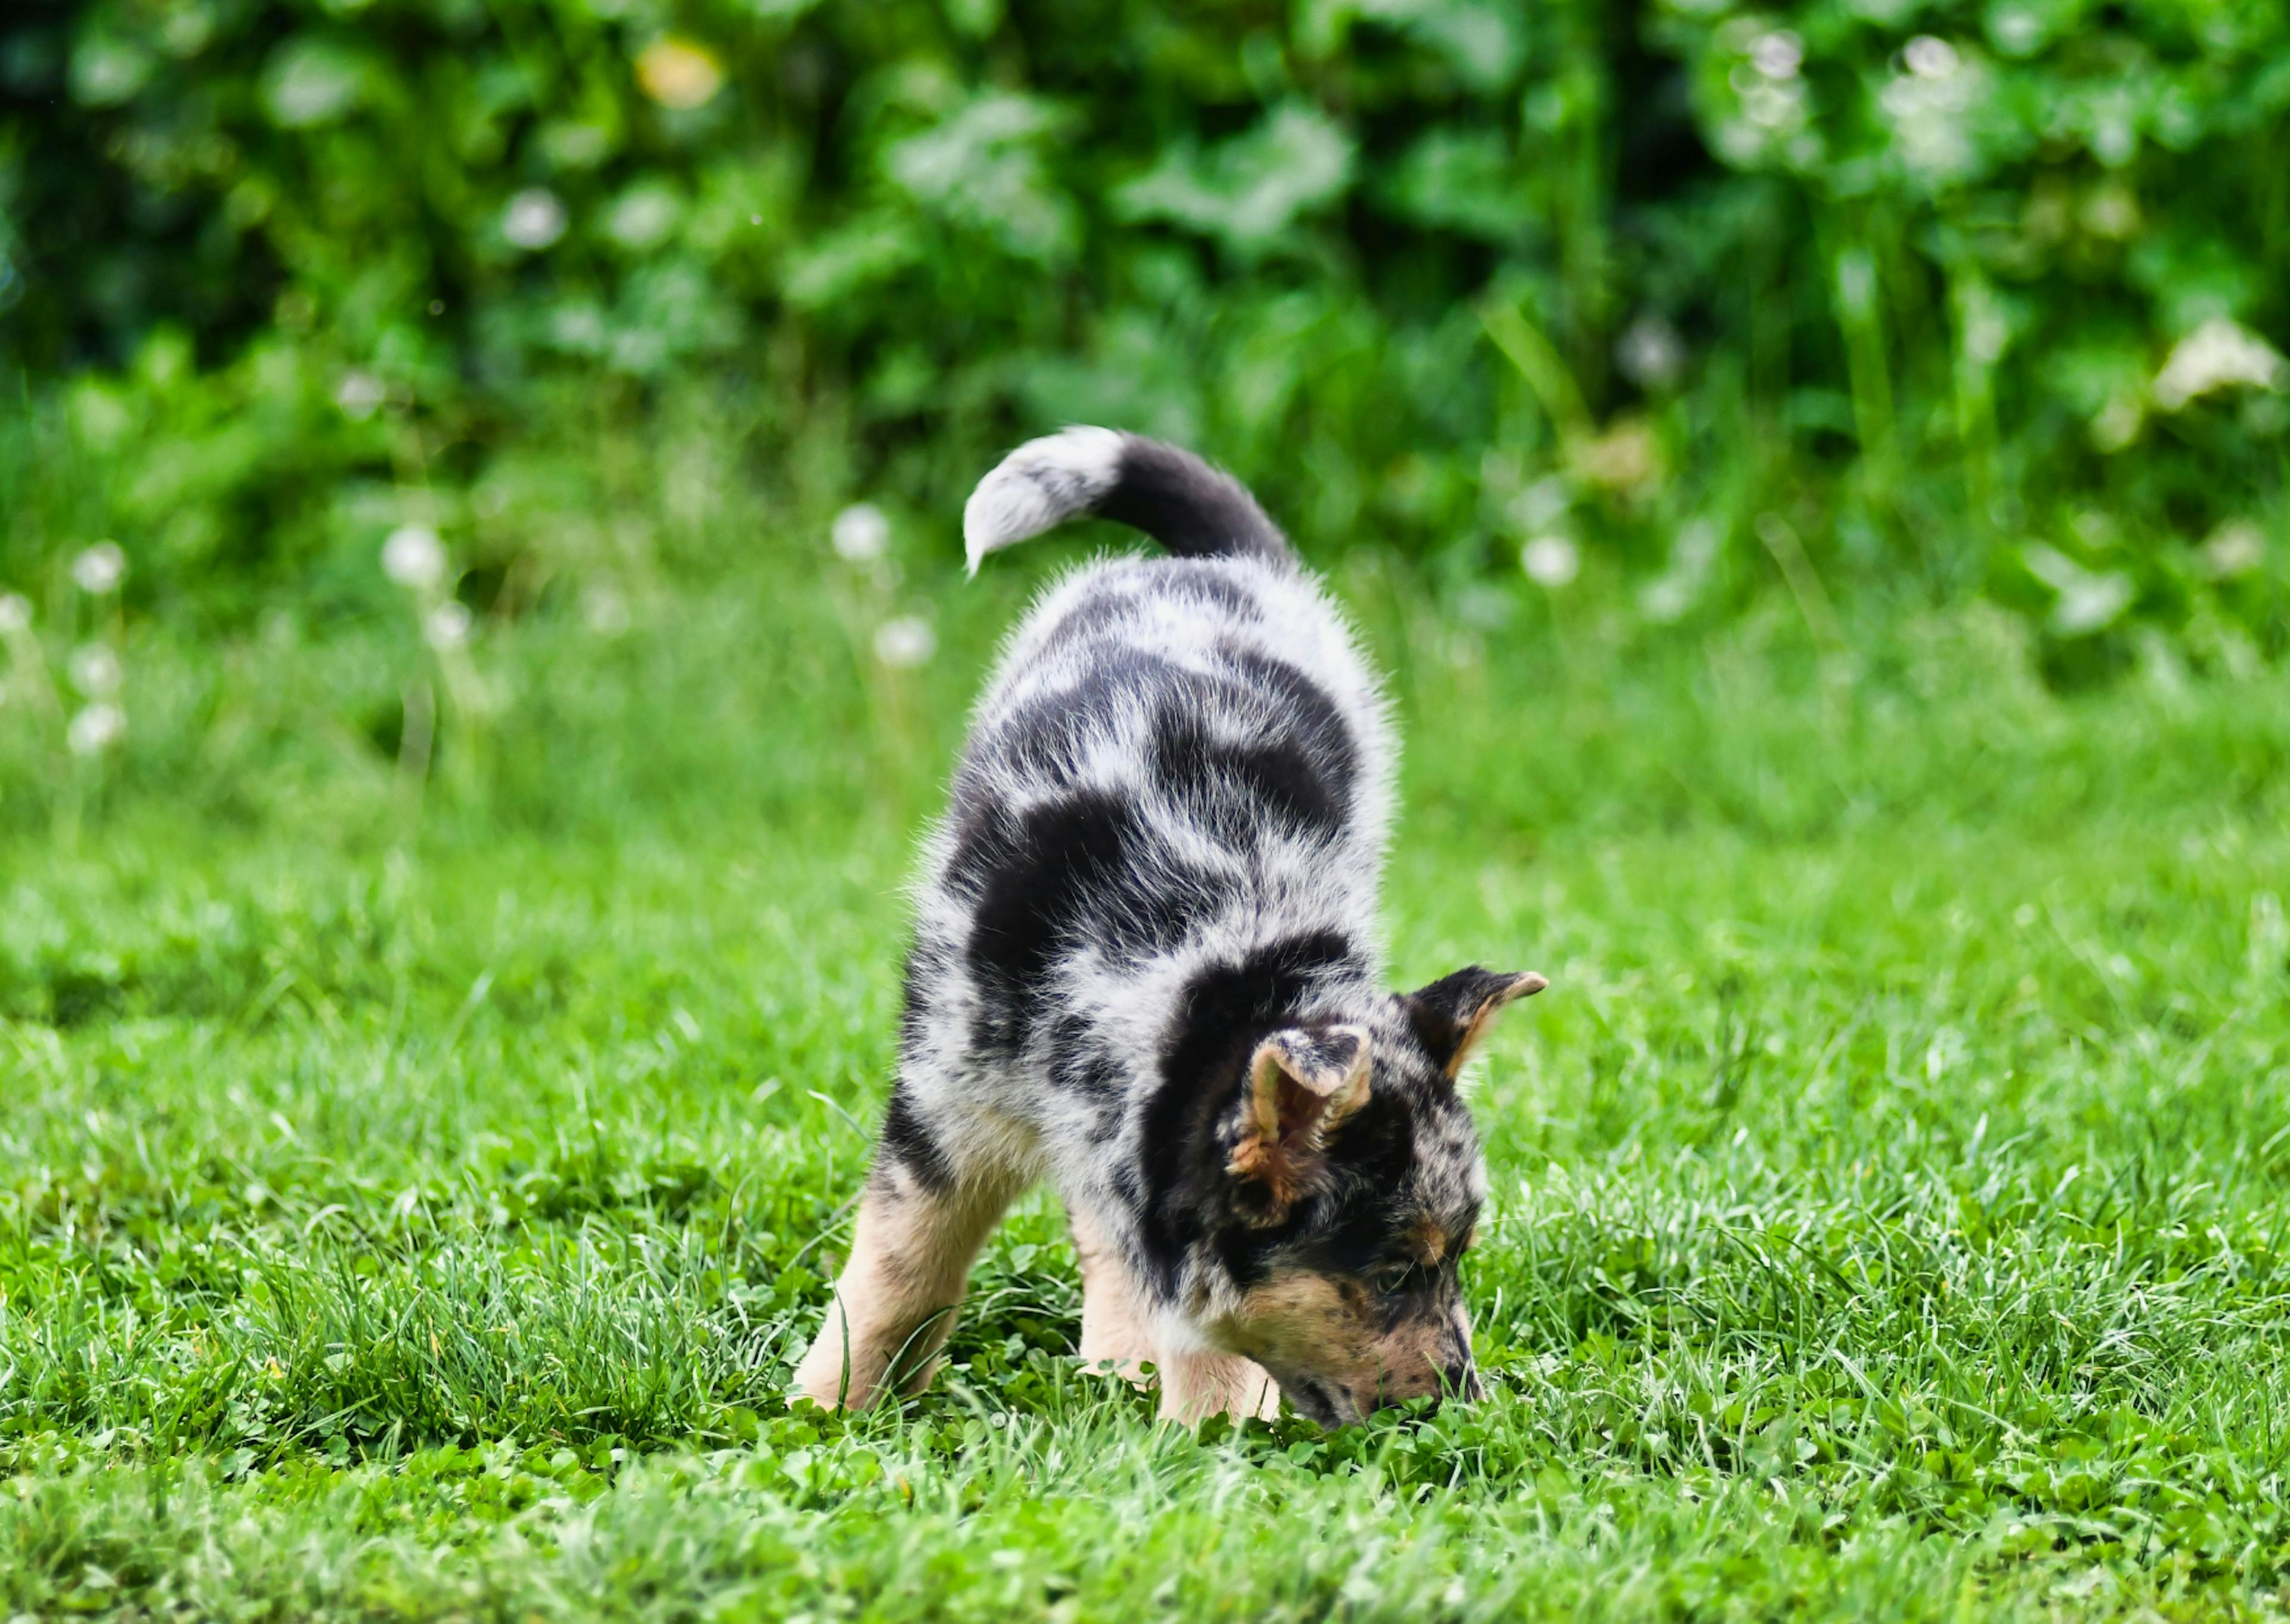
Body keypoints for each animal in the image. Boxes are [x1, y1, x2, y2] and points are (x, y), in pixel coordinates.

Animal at [797, 428, 1548, 1420]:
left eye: (1457, 1257)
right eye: (1392, 1273)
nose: (1466, 1412)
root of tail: (1216, 564)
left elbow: (1201, 1330)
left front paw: (1208, 1430)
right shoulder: (942, 1102)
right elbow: (900, 1266)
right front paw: (828, 1405)